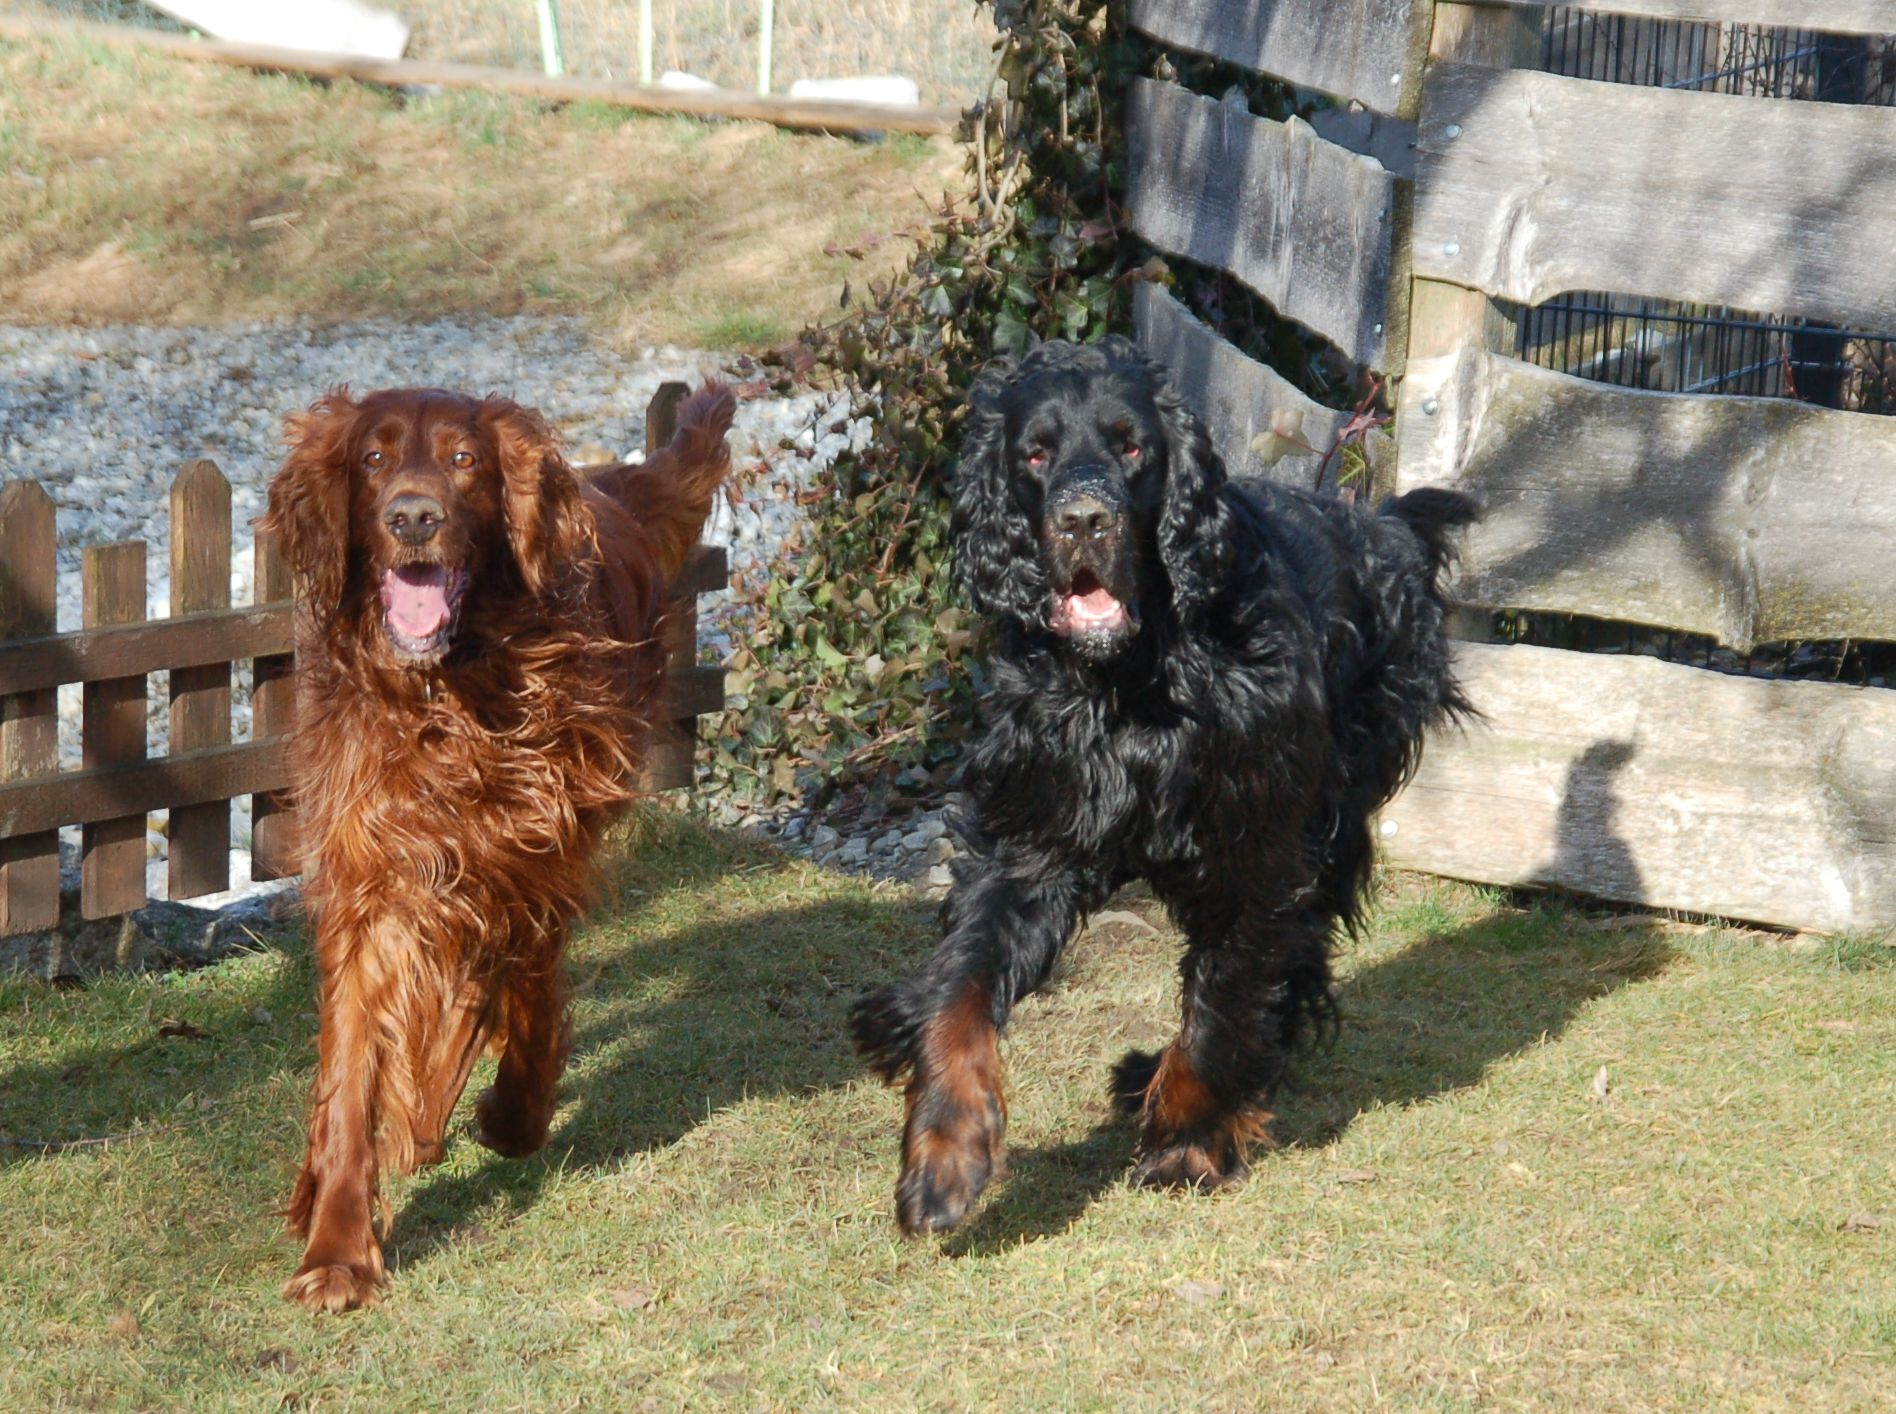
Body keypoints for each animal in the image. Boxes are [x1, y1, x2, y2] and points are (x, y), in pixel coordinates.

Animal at [262, 381, 733, 1310]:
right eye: (373, 459)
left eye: (463, 460)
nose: (413, 516)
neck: (449, 695)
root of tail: (608, 489)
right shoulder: (368, 880)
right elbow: (349, 1073)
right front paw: (337, 1248)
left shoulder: (530, 851)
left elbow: (506, 990)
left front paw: (483, 1114)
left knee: (512, 972)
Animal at [851, 337, 1475, 1234]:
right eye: (1035, 453)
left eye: (1131, 446)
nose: (1084, 519)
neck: (1130, 682)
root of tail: (1378, 523)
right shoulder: (1032, 841)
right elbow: (960, 992)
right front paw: (945, 1154)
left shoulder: (1258, 848)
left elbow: (1222, 1002)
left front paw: (1186, 1140)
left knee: (1290, 955)